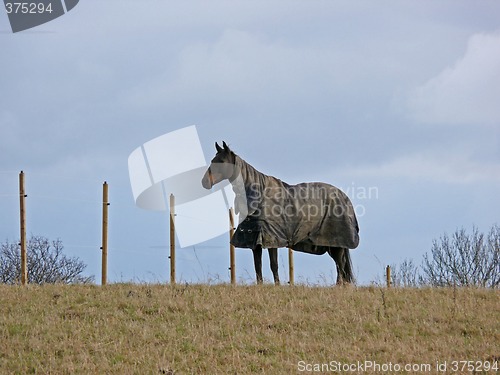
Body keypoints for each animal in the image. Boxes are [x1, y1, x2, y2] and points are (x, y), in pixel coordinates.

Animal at [201, 142, 362, 286]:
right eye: (213, 160)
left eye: (222, 161)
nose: (205, 182)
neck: (258, 196)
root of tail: (344, 197)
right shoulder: (255, 241)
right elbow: (258, 266)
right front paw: (260, 286)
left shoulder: (271, 238)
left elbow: (274, 265)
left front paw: (277, 285)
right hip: (331, 243)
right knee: (339, 264)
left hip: (337, 242)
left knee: (340, 263)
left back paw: (339, 286)